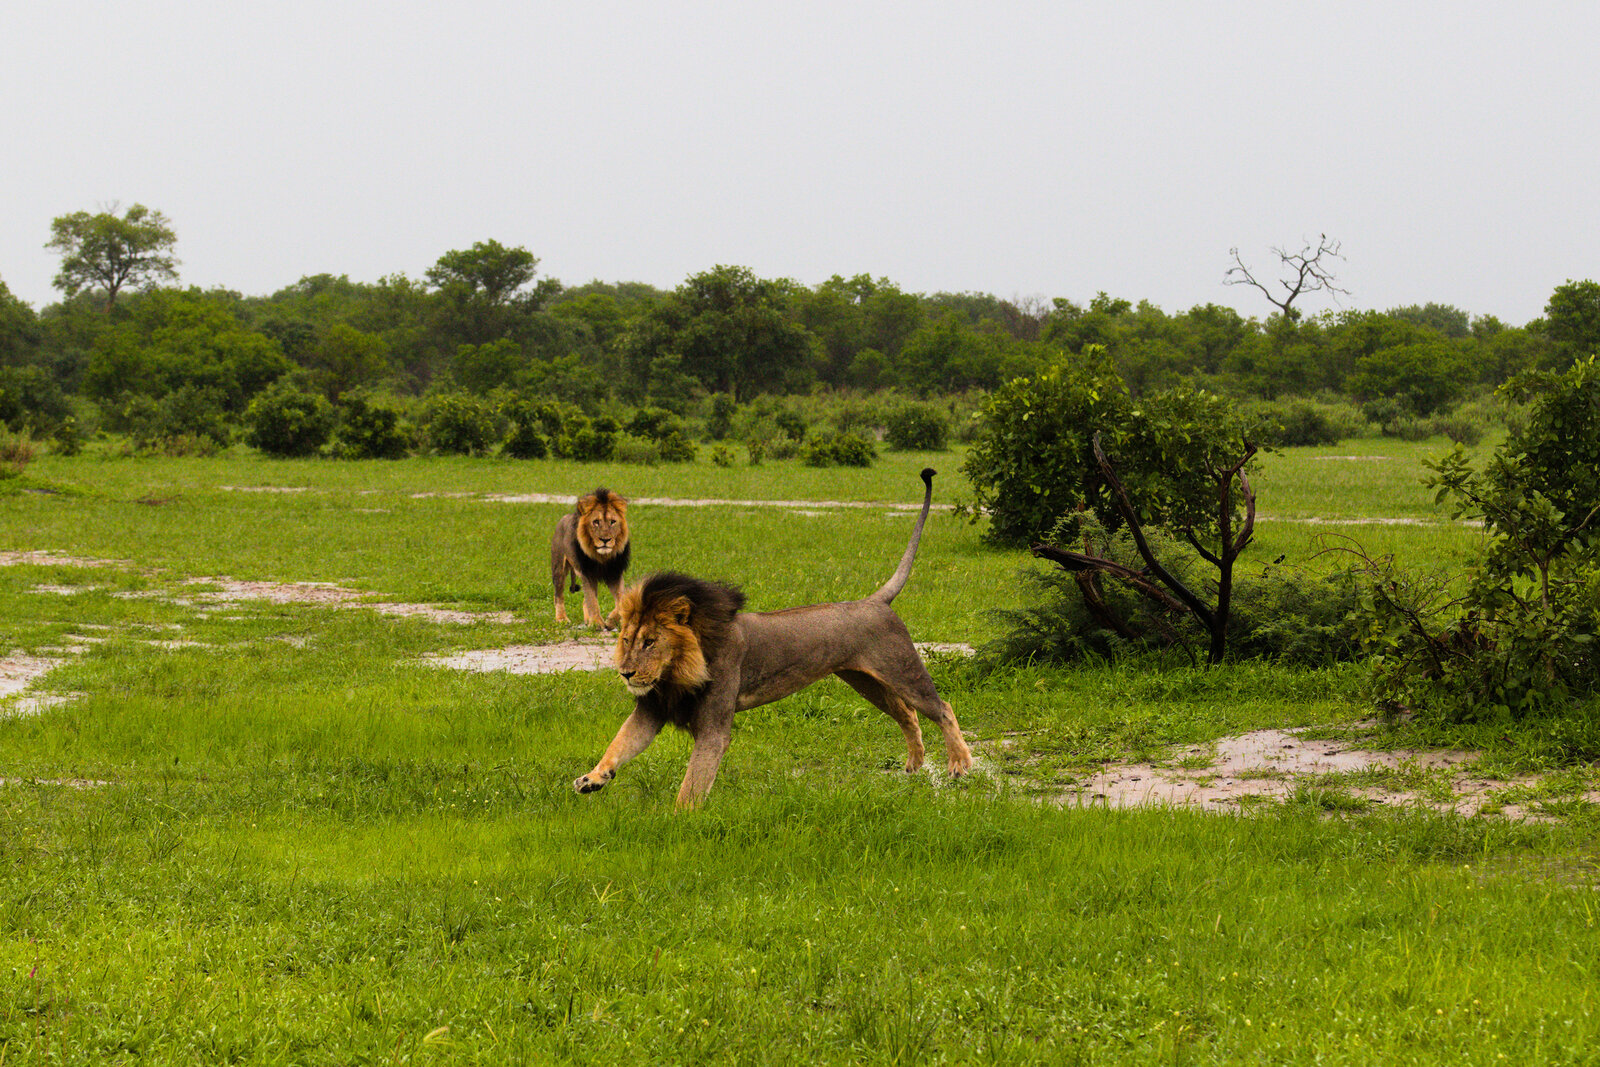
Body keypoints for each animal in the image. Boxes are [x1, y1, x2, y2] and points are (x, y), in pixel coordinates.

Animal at [550, 487, 630, 628]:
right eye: (596, 522)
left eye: (612, 522)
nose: (605, 540)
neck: (602, 557)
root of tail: (564, 518)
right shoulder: (587, 573)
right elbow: (592, 600)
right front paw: (597, 622)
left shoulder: (614, 572)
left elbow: (622, 599)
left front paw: (610, 620)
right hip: (559, 568)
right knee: (558, 596)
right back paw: (562, 619)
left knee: (584, 600)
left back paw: (588, 620)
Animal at [574, 469, 972, 808]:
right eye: (627, 640)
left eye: (651, 642)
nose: (626, 673)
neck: (677, 671)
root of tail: (874, 600)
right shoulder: (652, 708)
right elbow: (620, 743)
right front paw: (593, 779)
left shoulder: (714, 726)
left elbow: (693, 782)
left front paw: (678, 822)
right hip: (865, 681)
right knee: (907, 714)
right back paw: (915, 763)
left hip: (901, 669)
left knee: (941, 707)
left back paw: (959, 763)